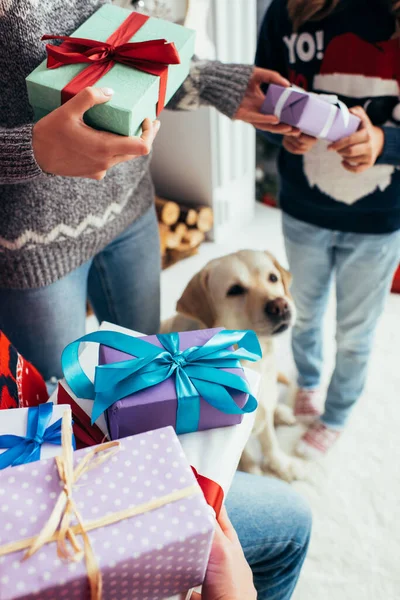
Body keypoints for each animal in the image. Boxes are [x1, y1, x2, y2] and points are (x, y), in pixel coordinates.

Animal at [162, 250, 304, 482]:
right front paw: (256, 472)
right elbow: (245, 456)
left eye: (273, 278)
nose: (280, 305)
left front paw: (282, 465)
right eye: (235, 290)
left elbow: (270, 443)